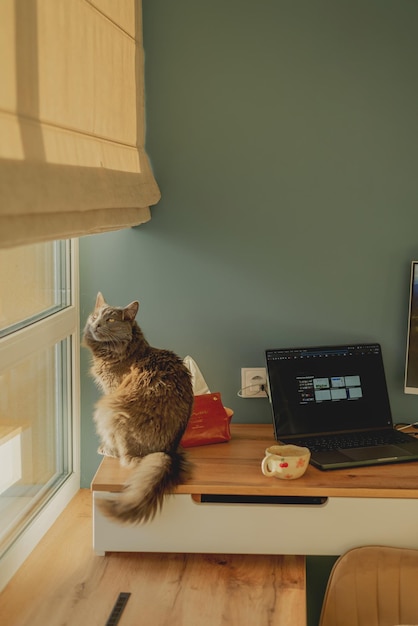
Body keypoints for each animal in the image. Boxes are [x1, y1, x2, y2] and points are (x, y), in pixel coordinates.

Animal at [83, 292, 194, 520]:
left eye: (110, 320)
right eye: (96, 316)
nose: (96, 324)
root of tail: (168, 451)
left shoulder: (112, 389)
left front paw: (106, 447)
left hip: (110, 410)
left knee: (124, 457)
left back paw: (108, 449)